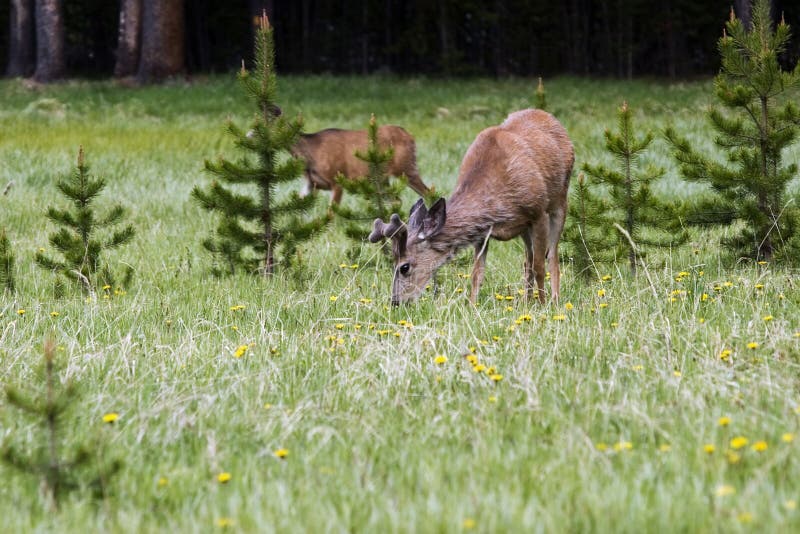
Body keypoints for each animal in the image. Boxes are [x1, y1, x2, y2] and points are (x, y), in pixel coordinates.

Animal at [292, 125, 432, 205]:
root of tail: (410, 136)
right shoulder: (311, 184)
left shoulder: (337, 179)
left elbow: (331, 214)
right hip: (382, 179)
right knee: (397, 200)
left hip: (406, 167)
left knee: (428, 193)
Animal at [368, 109, 576, 306]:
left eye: (404, 267)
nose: (395, 301)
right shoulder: (483, 231)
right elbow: (477, 273)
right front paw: (472, 306)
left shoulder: (538, 212)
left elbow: (541, 266)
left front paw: (543, 305)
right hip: (525, 228)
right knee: (527, 261)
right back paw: (526, 300)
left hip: (560, 199)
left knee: (552, 256)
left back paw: (554, 299)